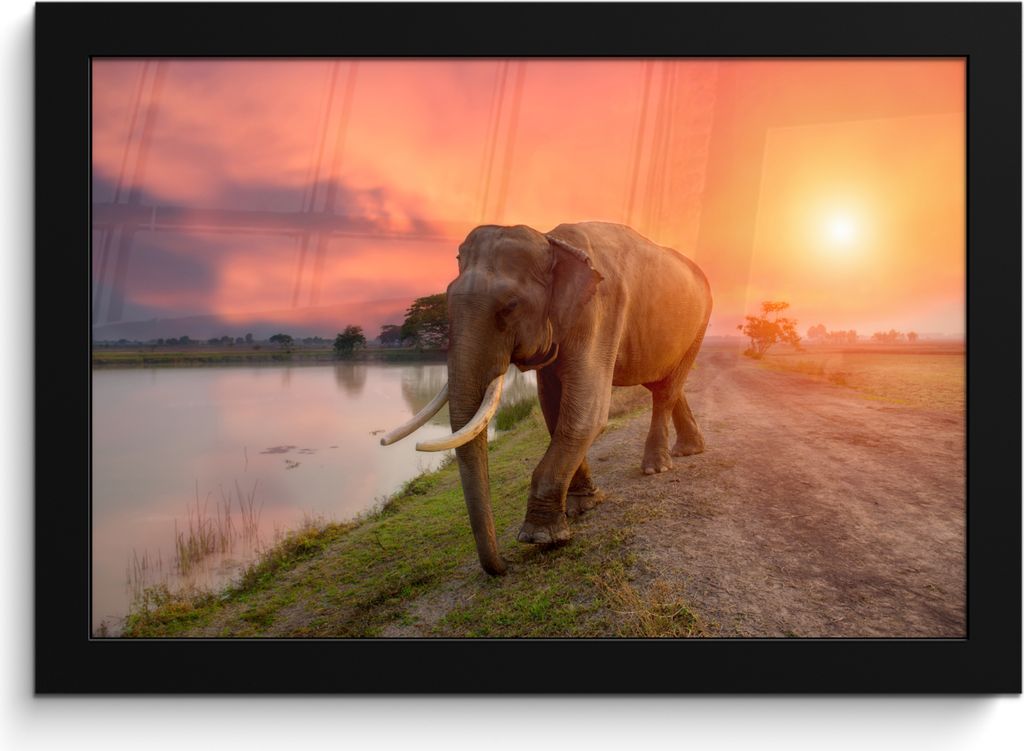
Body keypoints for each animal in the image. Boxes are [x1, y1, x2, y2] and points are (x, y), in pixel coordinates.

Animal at [381, 221, 712, 575]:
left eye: (509, 306)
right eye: (446, 301)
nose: (504, 566)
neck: (553, 242)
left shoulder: (600, 312)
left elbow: (586, 414)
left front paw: (542, 538)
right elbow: (554, 408)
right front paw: (583, 505)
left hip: (701, 321)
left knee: (666, 388)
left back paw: (657, 467)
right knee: (662, 381)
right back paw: (689, 450)